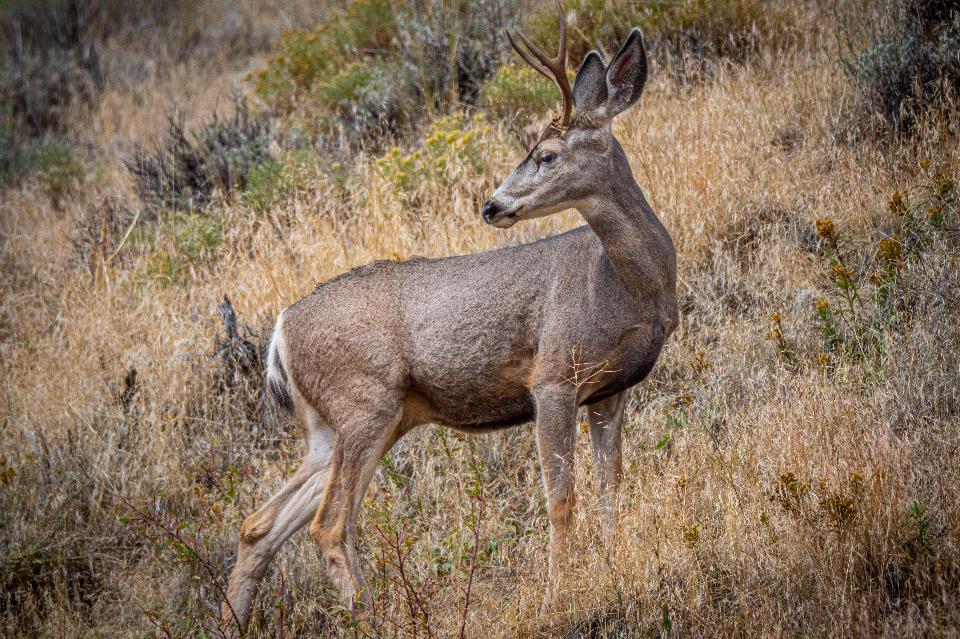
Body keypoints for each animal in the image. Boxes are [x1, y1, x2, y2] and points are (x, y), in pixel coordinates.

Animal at [223, 0, 676, 632]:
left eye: (547, 155)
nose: (492, 205)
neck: (625, 286)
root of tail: (281, 329)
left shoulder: (611, 388)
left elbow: (612, 488)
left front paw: (613, 567)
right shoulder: (553, 377)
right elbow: (561, 499)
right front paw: (559, 597)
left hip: (335, 426)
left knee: (259, 524)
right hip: (364, 403)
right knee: (329, 524)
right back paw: (373, 616)